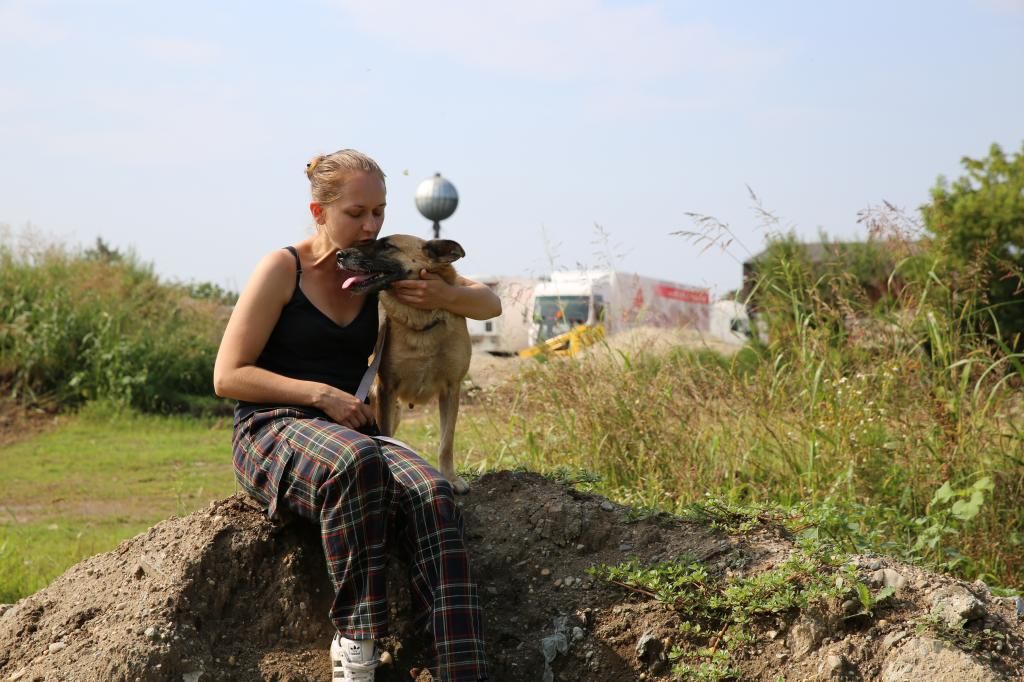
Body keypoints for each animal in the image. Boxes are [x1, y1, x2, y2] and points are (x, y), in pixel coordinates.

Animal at [339, 233, 475, 489]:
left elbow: (446, 442)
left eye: (387, 245)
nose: (339, 255)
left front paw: (451, 478)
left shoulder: (452, 389)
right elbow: (387, 437)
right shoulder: (386, 389)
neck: (422, 322)